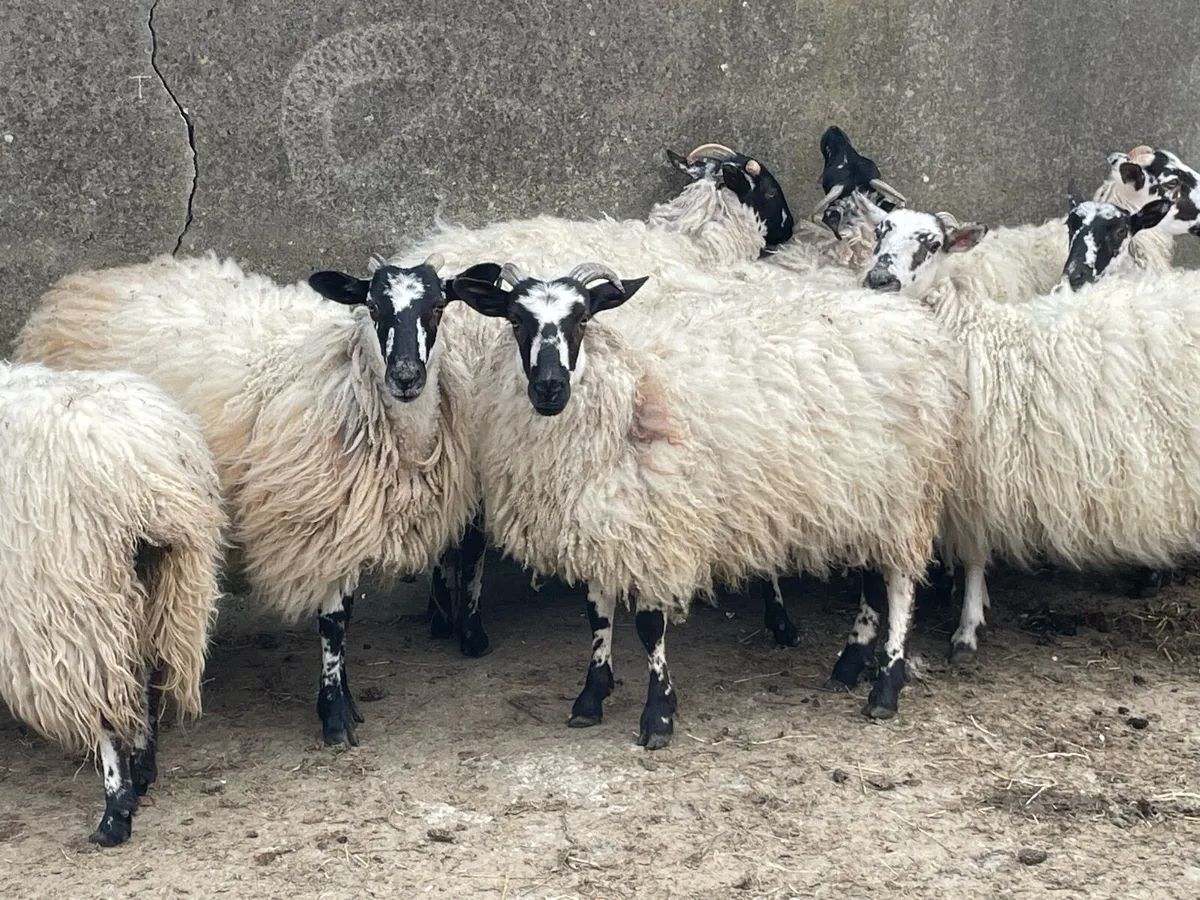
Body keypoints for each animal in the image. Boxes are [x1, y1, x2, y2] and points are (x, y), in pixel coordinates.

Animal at [0, 361, 224, 846]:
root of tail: (142, 474)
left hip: (77, 599)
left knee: (105, 705)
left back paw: (115, 811)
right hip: (166, 585)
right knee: (147, 669)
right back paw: (141, 769)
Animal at [15, 252, 497, 747]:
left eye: (438, 307)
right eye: (373, 307)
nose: (405, 377)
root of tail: (84, 282)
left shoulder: (344, 521)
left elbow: (345, 613)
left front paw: (341, 702)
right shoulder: (320, 519)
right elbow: (334, 620)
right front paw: (335, 716)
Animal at [449, 259, 965, 747]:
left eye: (583, 318)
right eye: (516, 319)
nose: (549, 388)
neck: (630, 388)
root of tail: (906, 318)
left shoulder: (658, 529)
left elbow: (649, 626)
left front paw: (658, 715)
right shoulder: (601, 521)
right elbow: (597, 615)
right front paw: (591, 696)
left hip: (906, 494)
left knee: (899, 585)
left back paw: (886, 687)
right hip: (867, 498)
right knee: (872, 581)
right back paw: (848, 665)